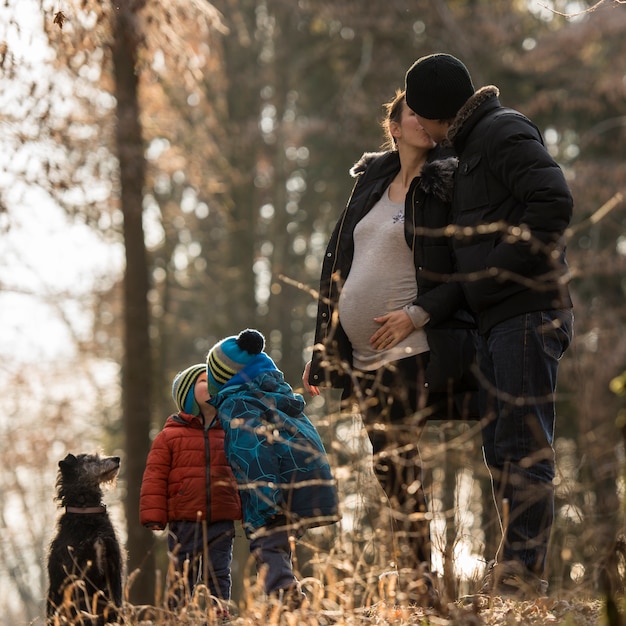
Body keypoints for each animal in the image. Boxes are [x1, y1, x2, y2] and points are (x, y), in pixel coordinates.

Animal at [46, 450, 123, 620]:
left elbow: (118, 602)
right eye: (90, 460)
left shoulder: (113, 568)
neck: (86, 513)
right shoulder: (78, 575)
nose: (117, 458)